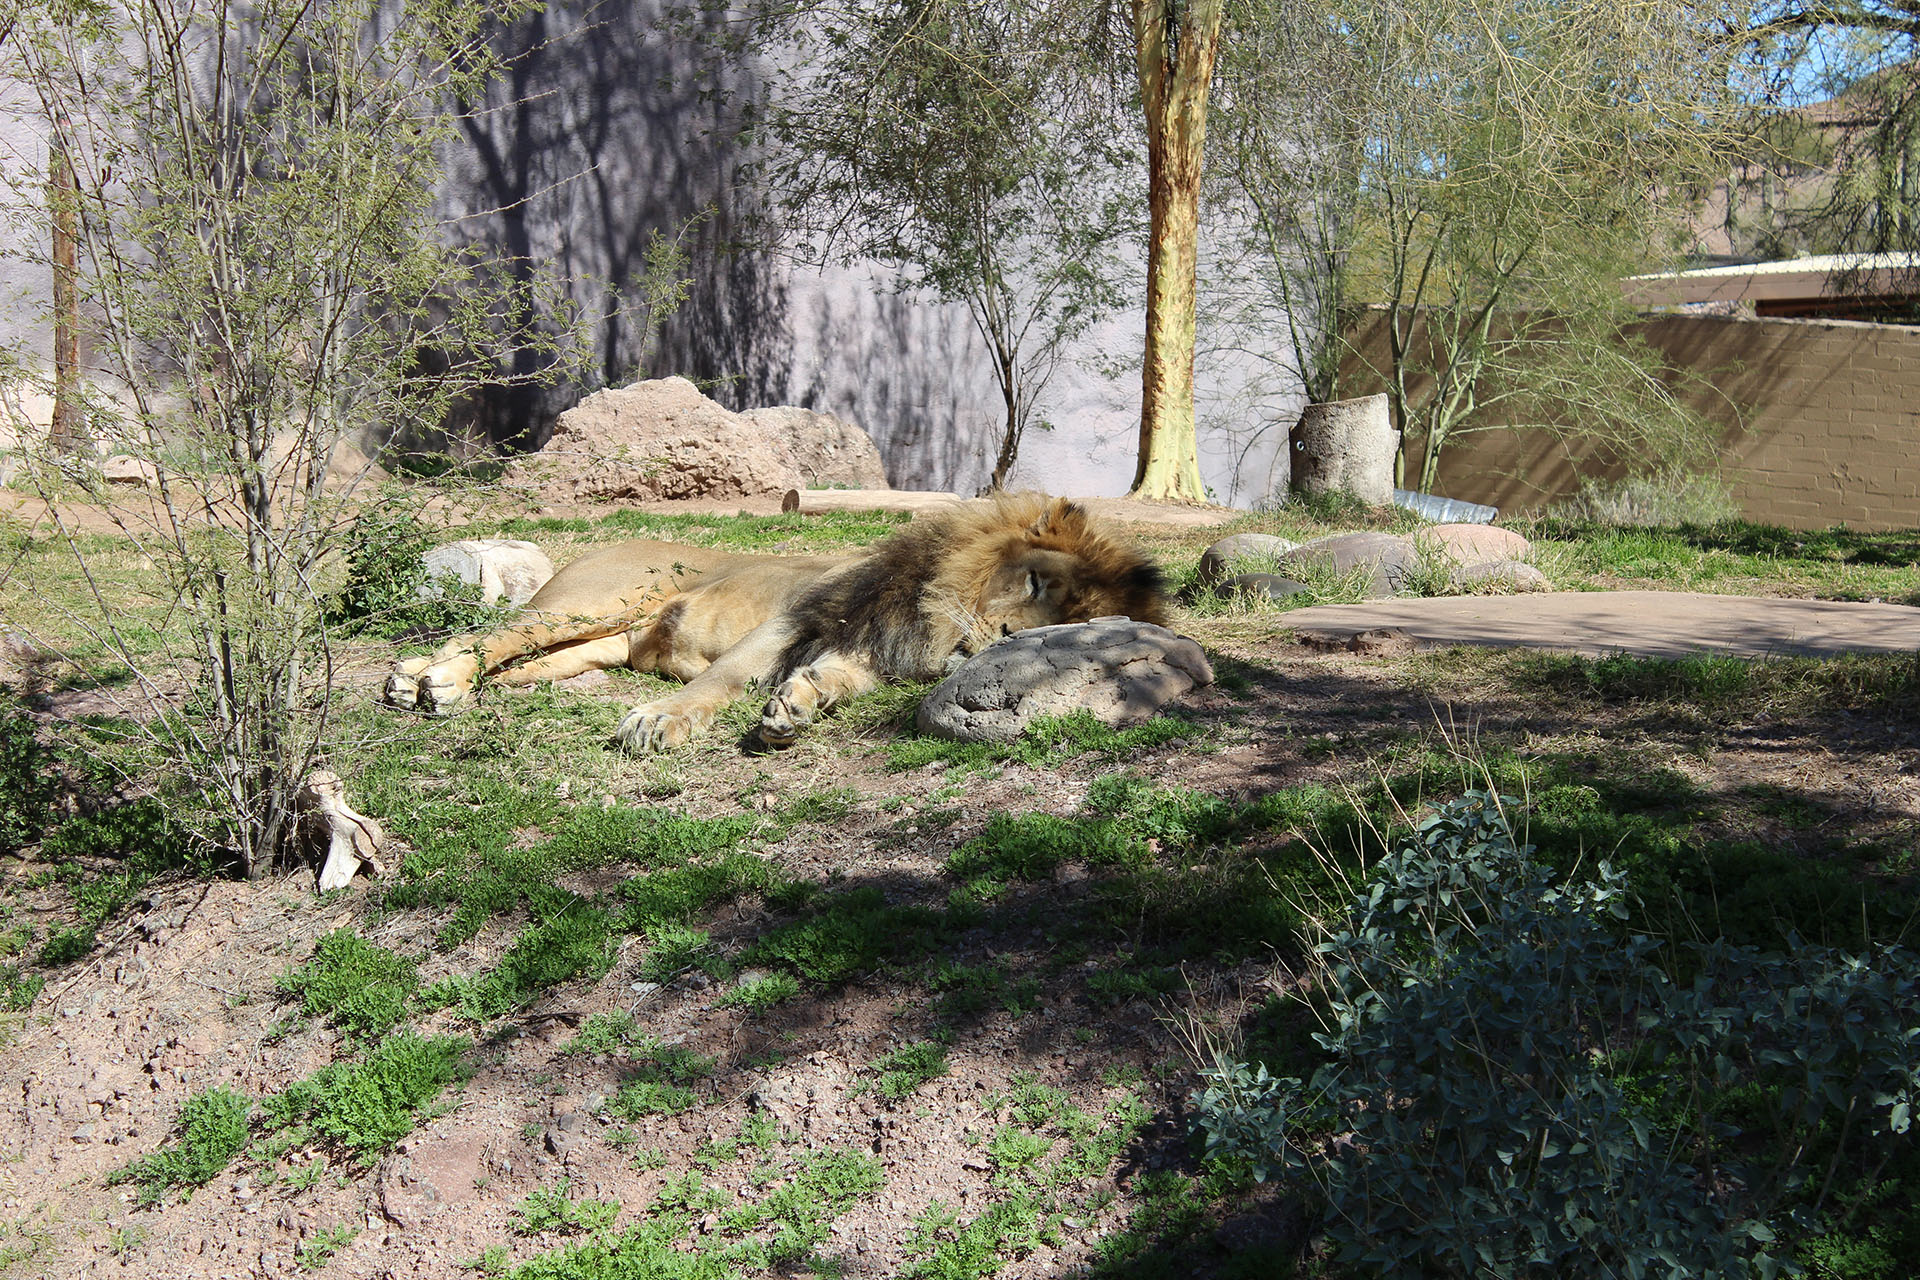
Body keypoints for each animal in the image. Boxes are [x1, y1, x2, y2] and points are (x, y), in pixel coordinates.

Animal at [384, 491, 1167, 752]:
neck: (934, 616)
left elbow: (831, 680)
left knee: (527, 660)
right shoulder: (796, 618)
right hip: (590, 602)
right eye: (1036, 581)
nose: (1008, 641)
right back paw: (429, 679)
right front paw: (658, 720)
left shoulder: (865, 648)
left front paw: (796, 706)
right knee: (490, 636)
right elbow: (721, 679)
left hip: (594, 645)